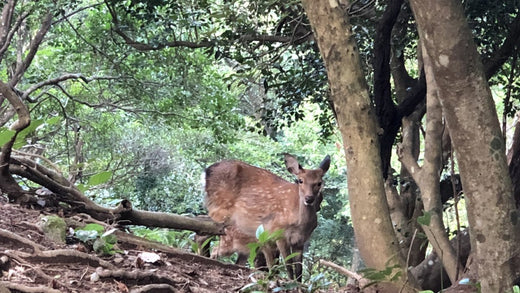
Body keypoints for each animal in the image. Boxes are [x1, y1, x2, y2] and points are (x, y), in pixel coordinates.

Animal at [203, 152, 330, 280]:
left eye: (319, 183)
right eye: (300, 180)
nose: (309, 199)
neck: (299, 223)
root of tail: (207, 170)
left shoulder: (300, 241)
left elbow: (299, 269)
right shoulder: (279, 234)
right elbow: (288, 265)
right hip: (220, 209)